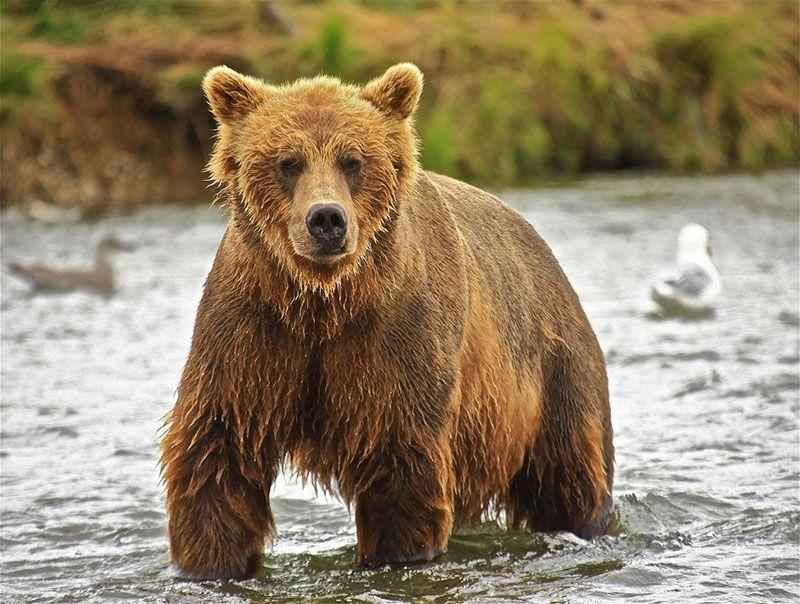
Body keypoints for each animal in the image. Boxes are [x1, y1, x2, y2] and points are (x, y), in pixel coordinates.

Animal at [160, 63, 614, 579]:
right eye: (288, 161)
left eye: (352, 161)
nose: (326, 219)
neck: (324, 302)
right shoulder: (252, 332)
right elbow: (219, 452)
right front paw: (211, 561)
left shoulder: (395, 341)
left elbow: (401, 463)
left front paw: (396, 553)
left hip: (554, 376)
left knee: (570, 475)